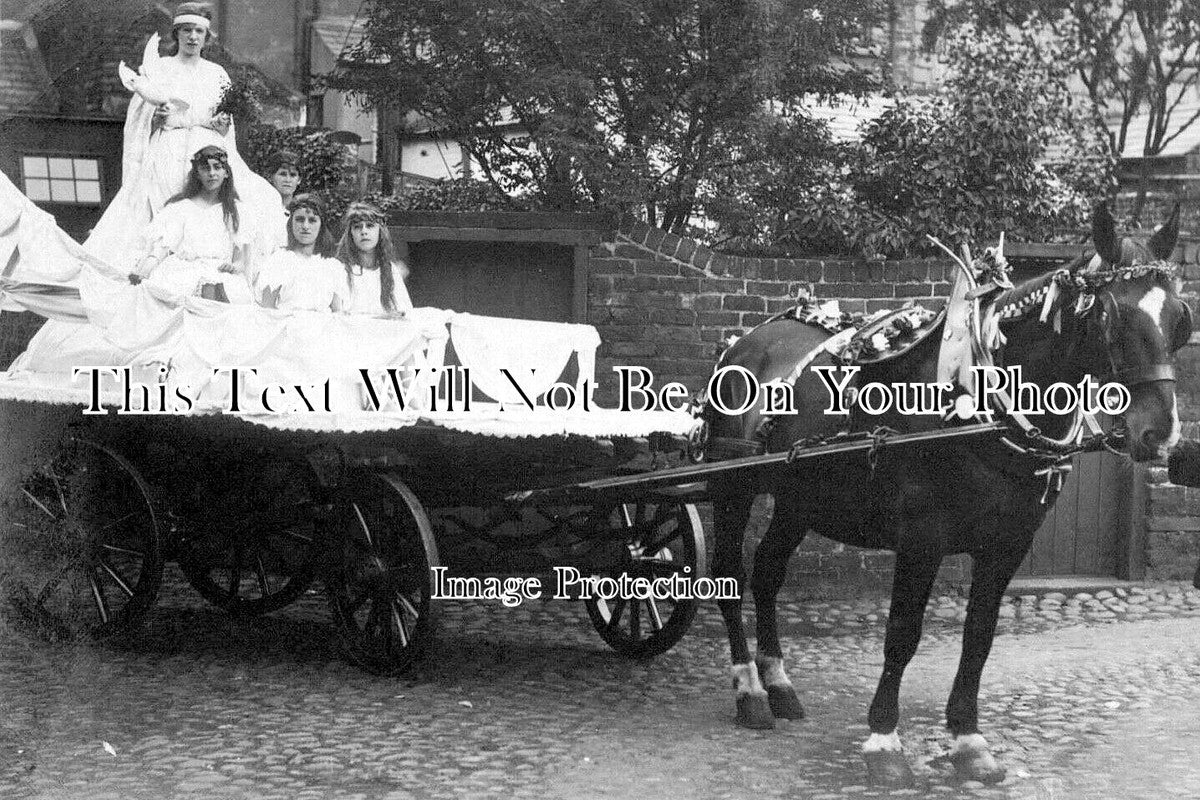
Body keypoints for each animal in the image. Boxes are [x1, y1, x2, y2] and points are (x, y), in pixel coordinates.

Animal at [700, 206, 1190, 786]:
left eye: (1180, 319)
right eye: (1112, 316)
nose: (1160, 432)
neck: (979, 402)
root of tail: (745, 340)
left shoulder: (1008, 546)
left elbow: (978, 637)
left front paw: (967, 739)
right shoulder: (922, 539)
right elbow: (903, 633)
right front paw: (884, 740)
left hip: (801, 498)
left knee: (769, 572)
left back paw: (778, 682)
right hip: (733, 487)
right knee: (730, 578)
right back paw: (749, 691)